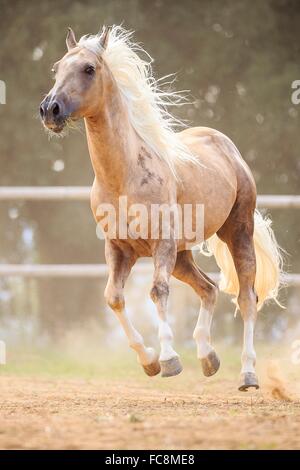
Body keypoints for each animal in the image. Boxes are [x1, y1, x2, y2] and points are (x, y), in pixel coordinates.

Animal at [40, 26, 284, 392]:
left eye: (88, 68)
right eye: (57, 67)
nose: (50, 110)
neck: (123, 176)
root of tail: (227, 147)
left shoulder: (162, 245)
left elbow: (157, 291)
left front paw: (169, 359)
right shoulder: (118, 249)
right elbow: (113, 297)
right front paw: (149, 362)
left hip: (237, 233)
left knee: (246, 298)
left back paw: (247, 374)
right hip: (183, 256)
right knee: (209, 289)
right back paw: (208, 358)